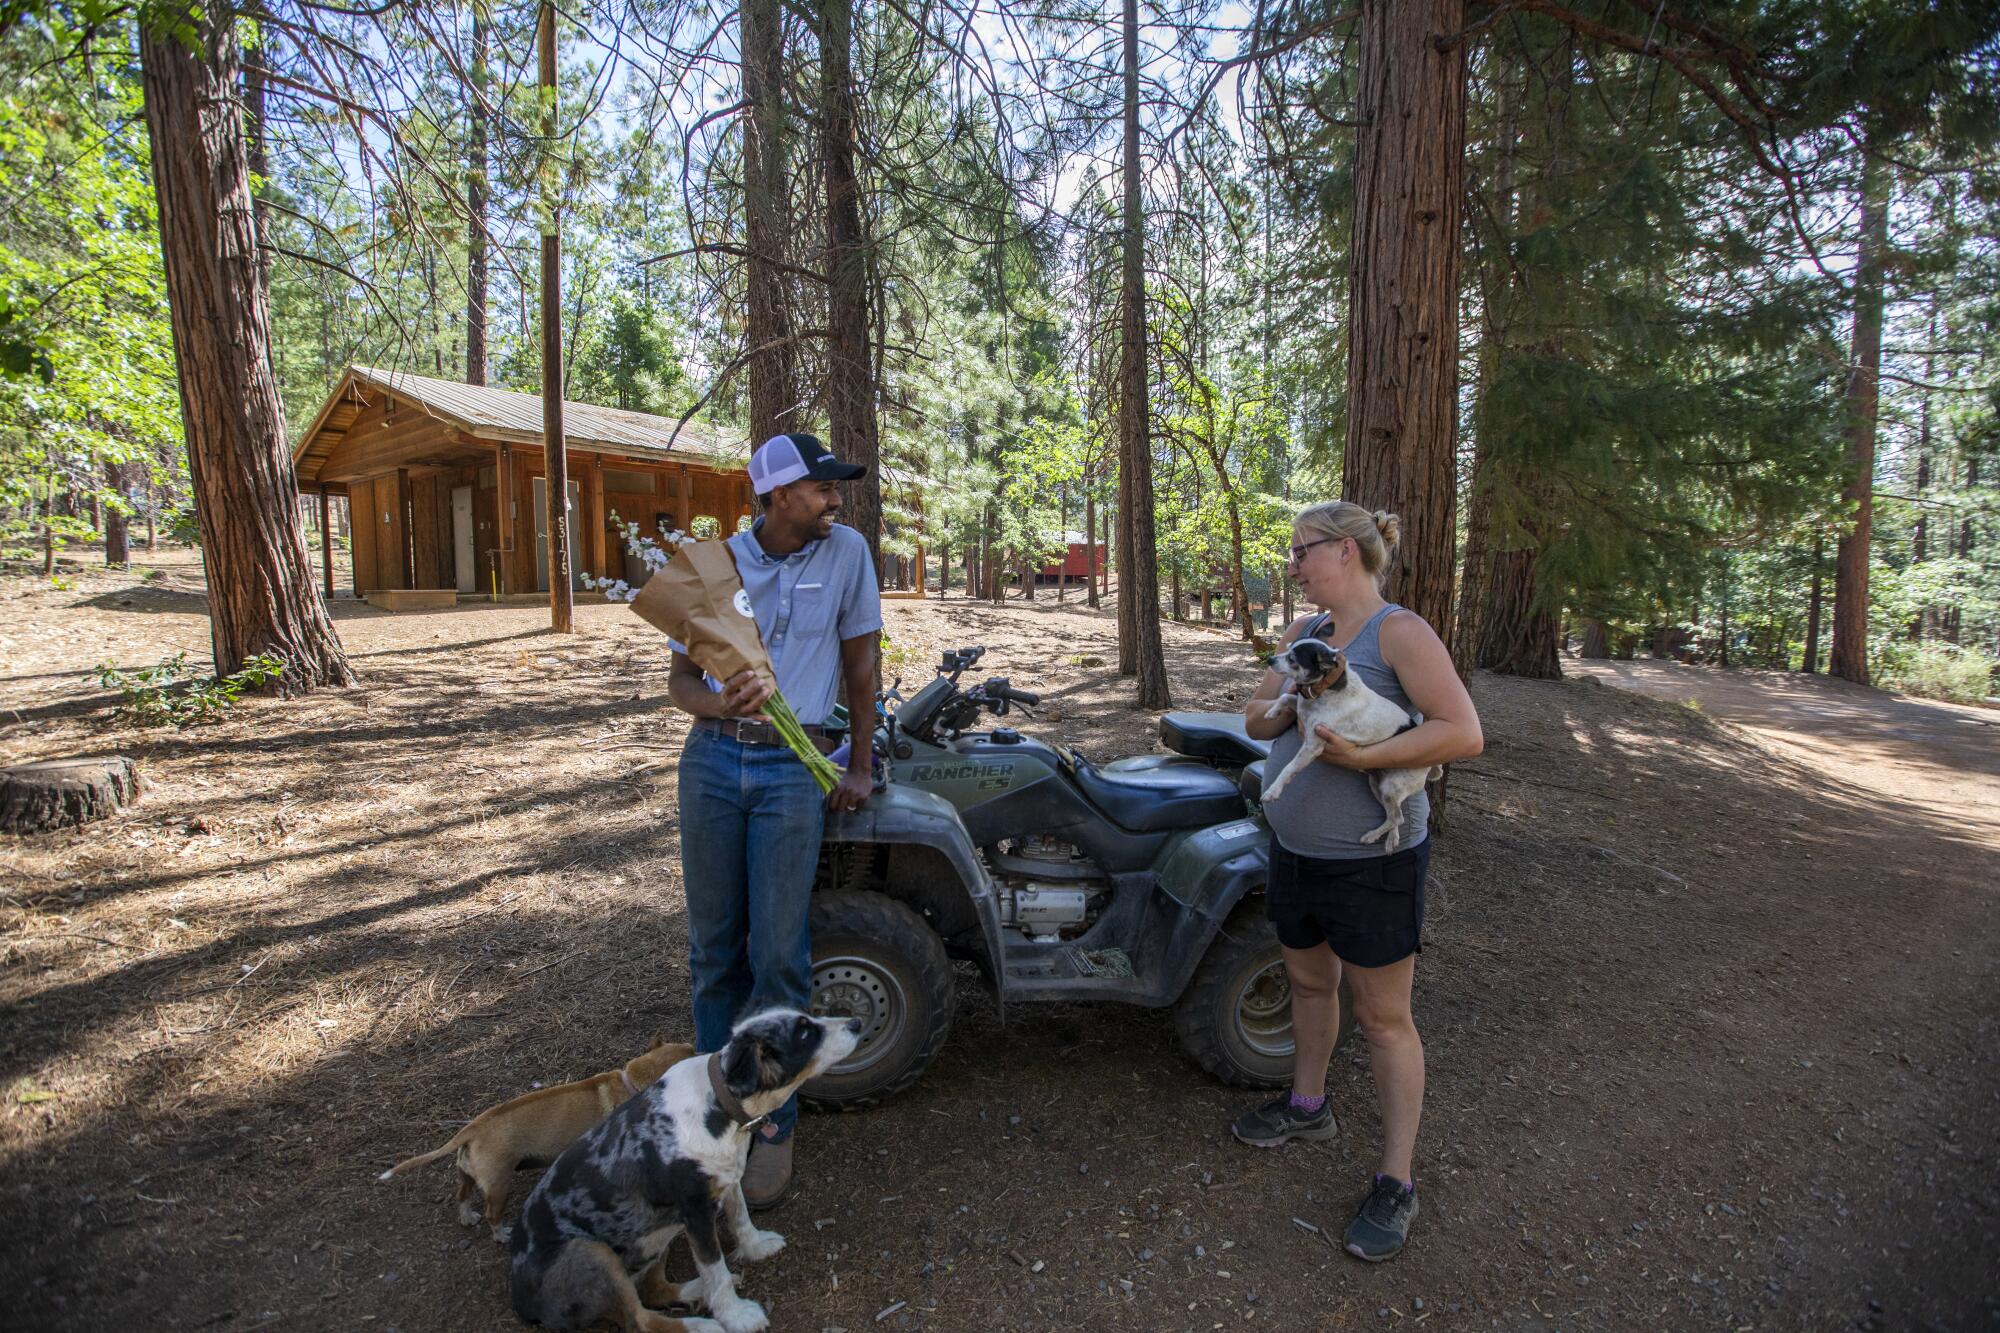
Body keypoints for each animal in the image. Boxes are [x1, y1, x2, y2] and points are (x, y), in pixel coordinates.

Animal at [380, 1032, 696, 1232]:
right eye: (692, 1051)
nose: (704, 1049)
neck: (632, 1083)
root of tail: (472, 1128)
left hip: (467, 1176)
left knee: (463, 1197)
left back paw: (468, 1218)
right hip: (499, 1185)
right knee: (492, 1215)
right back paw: (503, 1234)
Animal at [508, 1008, 860, 1328]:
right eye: (804, 1032)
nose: (856, 1022)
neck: (720, 1104)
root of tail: (522, 1301)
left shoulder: (728, 1180)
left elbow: (741, 1219)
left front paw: (756, 1247)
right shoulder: (696, 1212)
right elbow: (716, 1269)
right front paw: (737, 1316)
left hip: (656, 1234)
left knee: (653, 1290)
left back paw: (697, 1291)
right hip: (595, 1252)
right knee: (641, 1319)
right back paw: (702, 1324)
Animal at [1264, 636, 1440, 852]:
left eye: (1292, 659)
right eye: (1287, 648)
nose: (1270, 659)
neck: (1324, 691)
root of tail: (1431, 766)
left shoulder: (1312, 747)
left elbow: (1288, 769)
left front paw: (1272, 791)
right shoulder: (1299, 709)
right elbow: (1284, 697)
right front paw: (1272, 712)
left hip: (1390, 787)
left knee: (1397, 818)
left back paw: (1371, 836)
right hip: (1377, 785)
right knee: (1396, 817)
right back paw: (1392, 839)